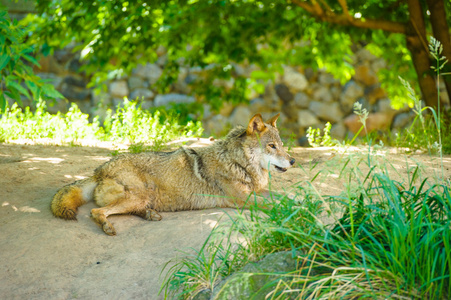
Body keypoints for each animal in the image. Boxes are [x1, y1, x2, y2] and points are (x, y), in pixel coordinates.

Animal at [51, 113, 296, 236]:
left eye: (282, 145)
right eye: (272, 146)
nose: (293, 161)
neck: (238, 162)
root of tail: (99, 170)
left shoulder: (258, 191)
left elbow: (285, 197)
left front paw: (300, 203)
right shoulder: (242, 198)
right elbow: (274, 204)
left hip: (142, 197)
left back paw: (150, 215)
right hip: (138, 195)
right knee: (97, 211)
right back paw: (108, 226)